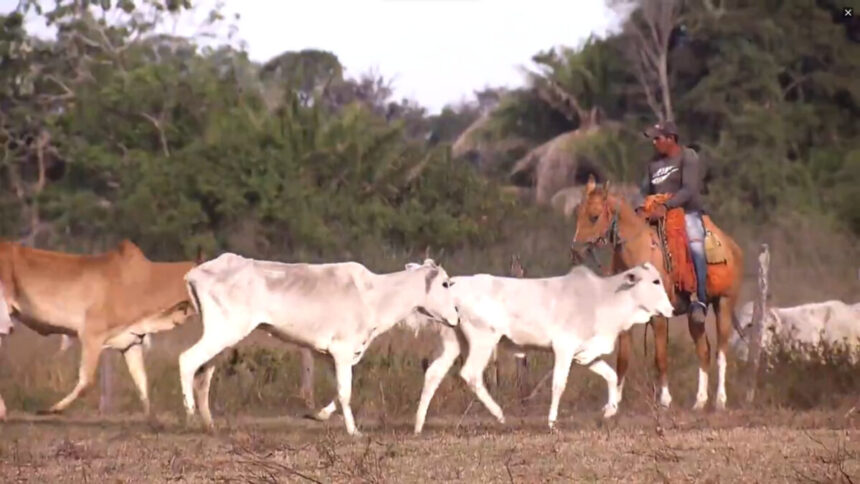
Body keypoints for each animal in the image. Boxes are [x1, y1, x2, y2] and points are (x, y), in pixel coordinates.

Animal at [0, 240, 198, 414]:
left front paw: (153, 421)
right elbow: (86, 381)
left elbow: (142, 384)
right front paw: (52, 409)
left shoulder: (131, 343)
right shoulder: (91, 335)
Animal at [175, 253, 456, 434]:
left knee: (204, 375)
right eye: (445, 283)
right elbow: (345, 391)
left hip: (222, 336)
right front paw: (353, 431)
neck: (374, 295)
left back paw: (209, 424)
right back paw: (190, 416)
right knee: (188, 360)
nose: (456, 315)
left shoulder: (329, 354)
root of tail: (196, 272)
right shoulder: (343, 350)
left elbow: (338, 391)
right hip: (225, 331)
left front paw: (318, 414)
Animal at [568, 176, 744, 410]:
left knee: (721, 352)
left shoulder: (659, 317)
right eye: (577, 213)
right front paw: (614, 404)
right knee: (703, 351)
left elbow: (660, 357)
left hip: (724, 304)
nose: (576, 251)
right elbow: (623, 358)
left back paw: (720, 401)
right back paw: (699, 402)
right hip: (695, 315)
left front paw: (665, 399)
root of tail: (732, 247)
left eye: (594, 216)